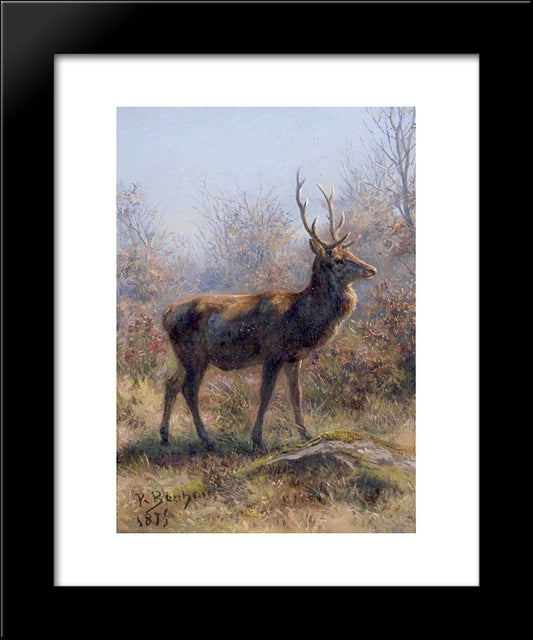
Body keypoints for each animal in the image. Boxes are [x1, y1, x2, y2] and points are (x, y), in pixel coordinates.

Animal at [159, 170, 376, 450]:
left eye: (351, 252)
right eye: (338, 260)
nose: (371, 269)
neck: (302, 317)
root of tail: (167, 314)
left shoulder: (294, 358)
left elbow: (296, 395)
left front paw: (305, 434)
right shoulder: (273, 352)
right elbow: (266, 394)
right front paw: (257, 439)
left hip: (182, 356)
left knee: (171, 383)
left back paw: (165, 435)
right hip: (195, 354)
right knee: (189, 389)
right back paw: (206, 439)